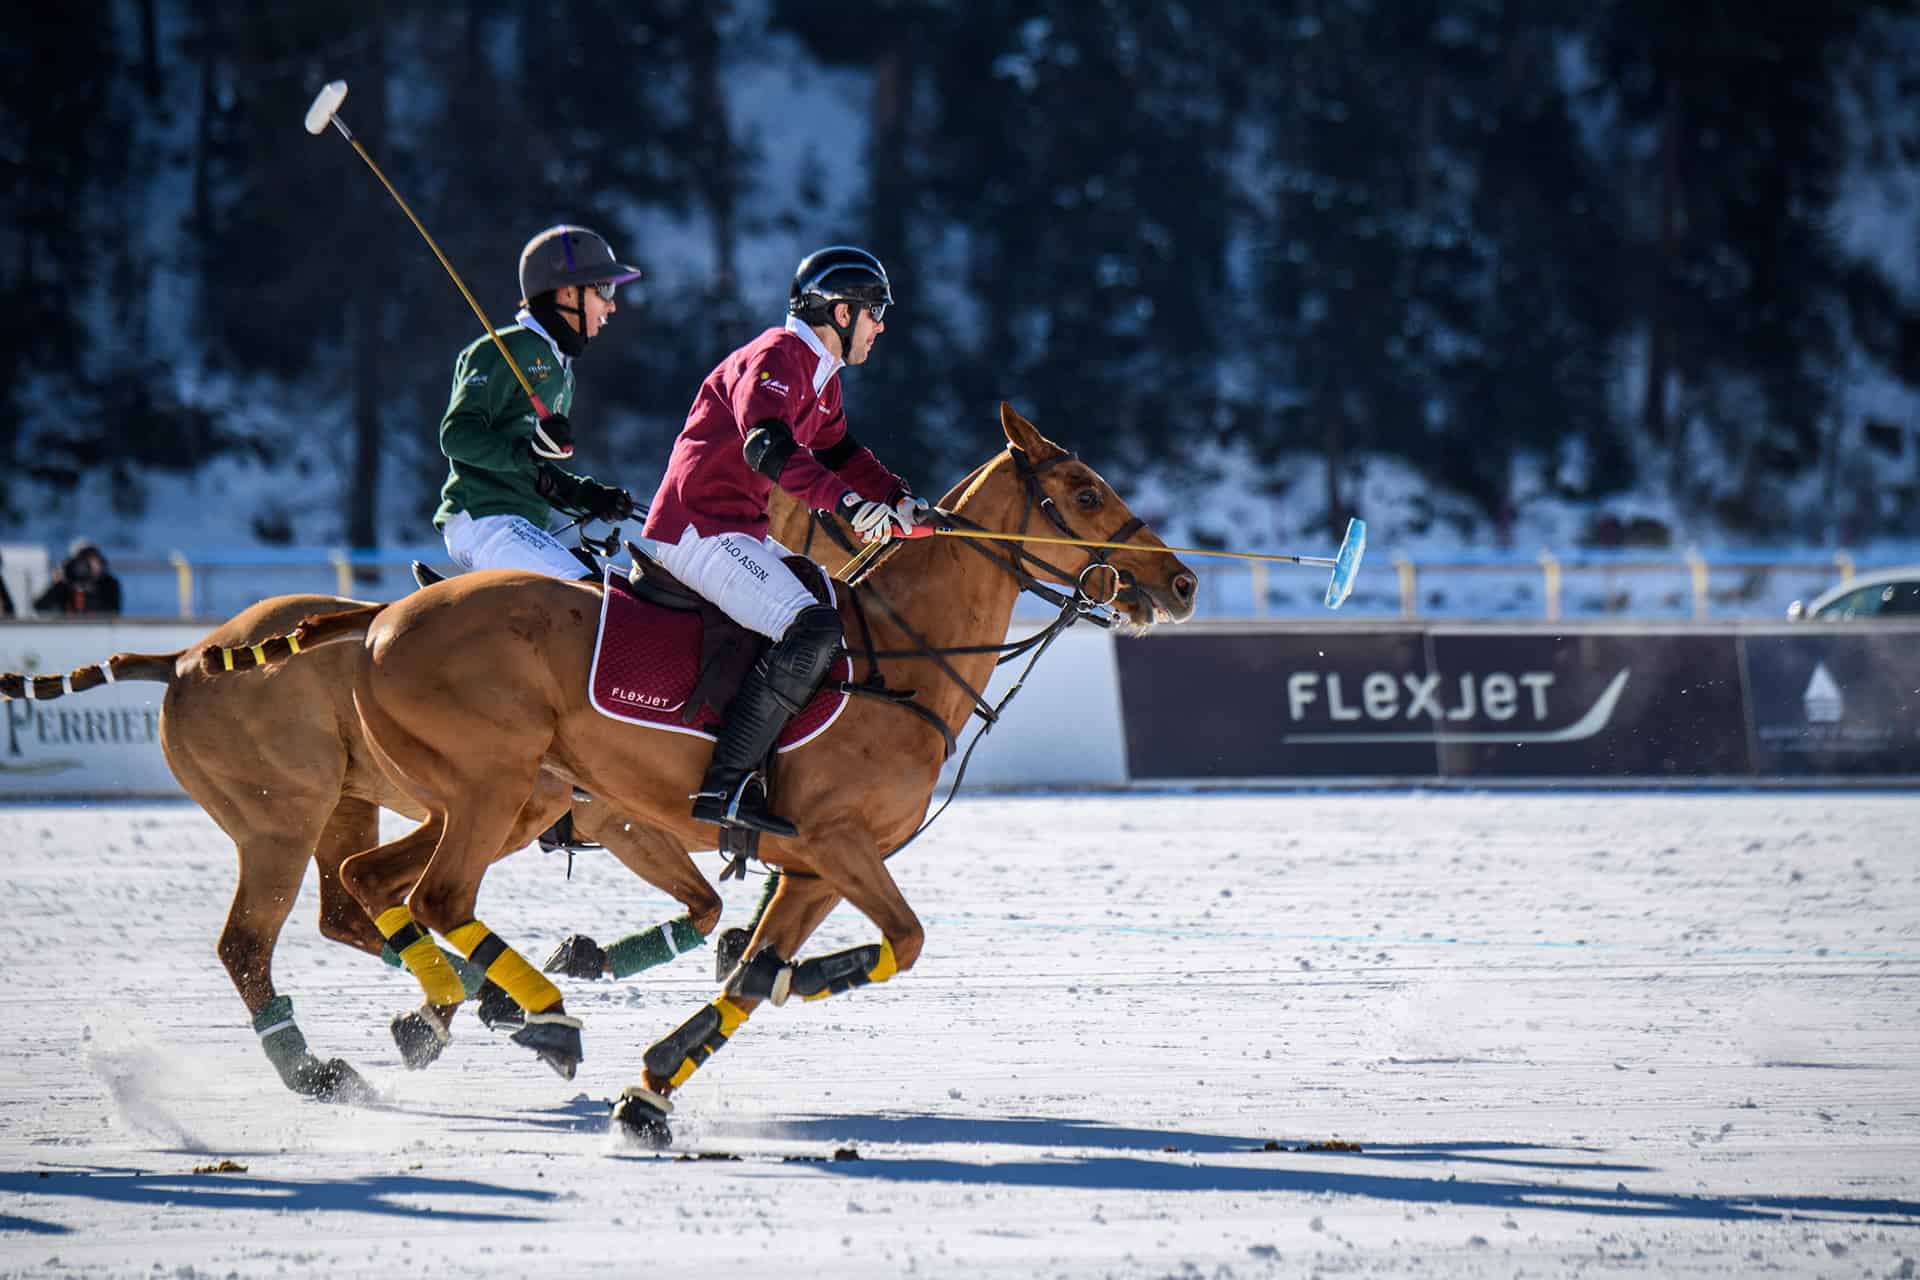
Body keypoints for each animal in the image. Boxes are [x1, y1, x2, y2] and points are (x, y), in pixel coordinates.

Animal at [0, 495, 844, 1097]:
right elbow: (710, 898)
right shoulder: (615, 815)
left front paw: (596, 954)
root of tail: (182, 657)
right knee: (257, 938)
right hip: (285, 818)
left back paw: (468, 997)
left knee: (347, 903)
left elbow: (709, 904)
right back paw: (330, 1065)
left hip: (351, 805)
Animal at [220, 401, 1182, 1143]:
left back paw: (457, 1012)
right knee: (429, 899)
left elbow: (758, 969)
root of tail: (376, 620)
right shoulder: (834, 842)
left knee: (370, 878)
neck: (901, 653)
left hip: (481, 798)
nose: (1180, 585)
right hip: (494, 790)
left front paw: (652, 1091)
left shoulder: (814, 867)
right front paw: (771, 984)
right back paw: (540, 1018)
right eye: (1086, 491)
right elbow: (901, 940)